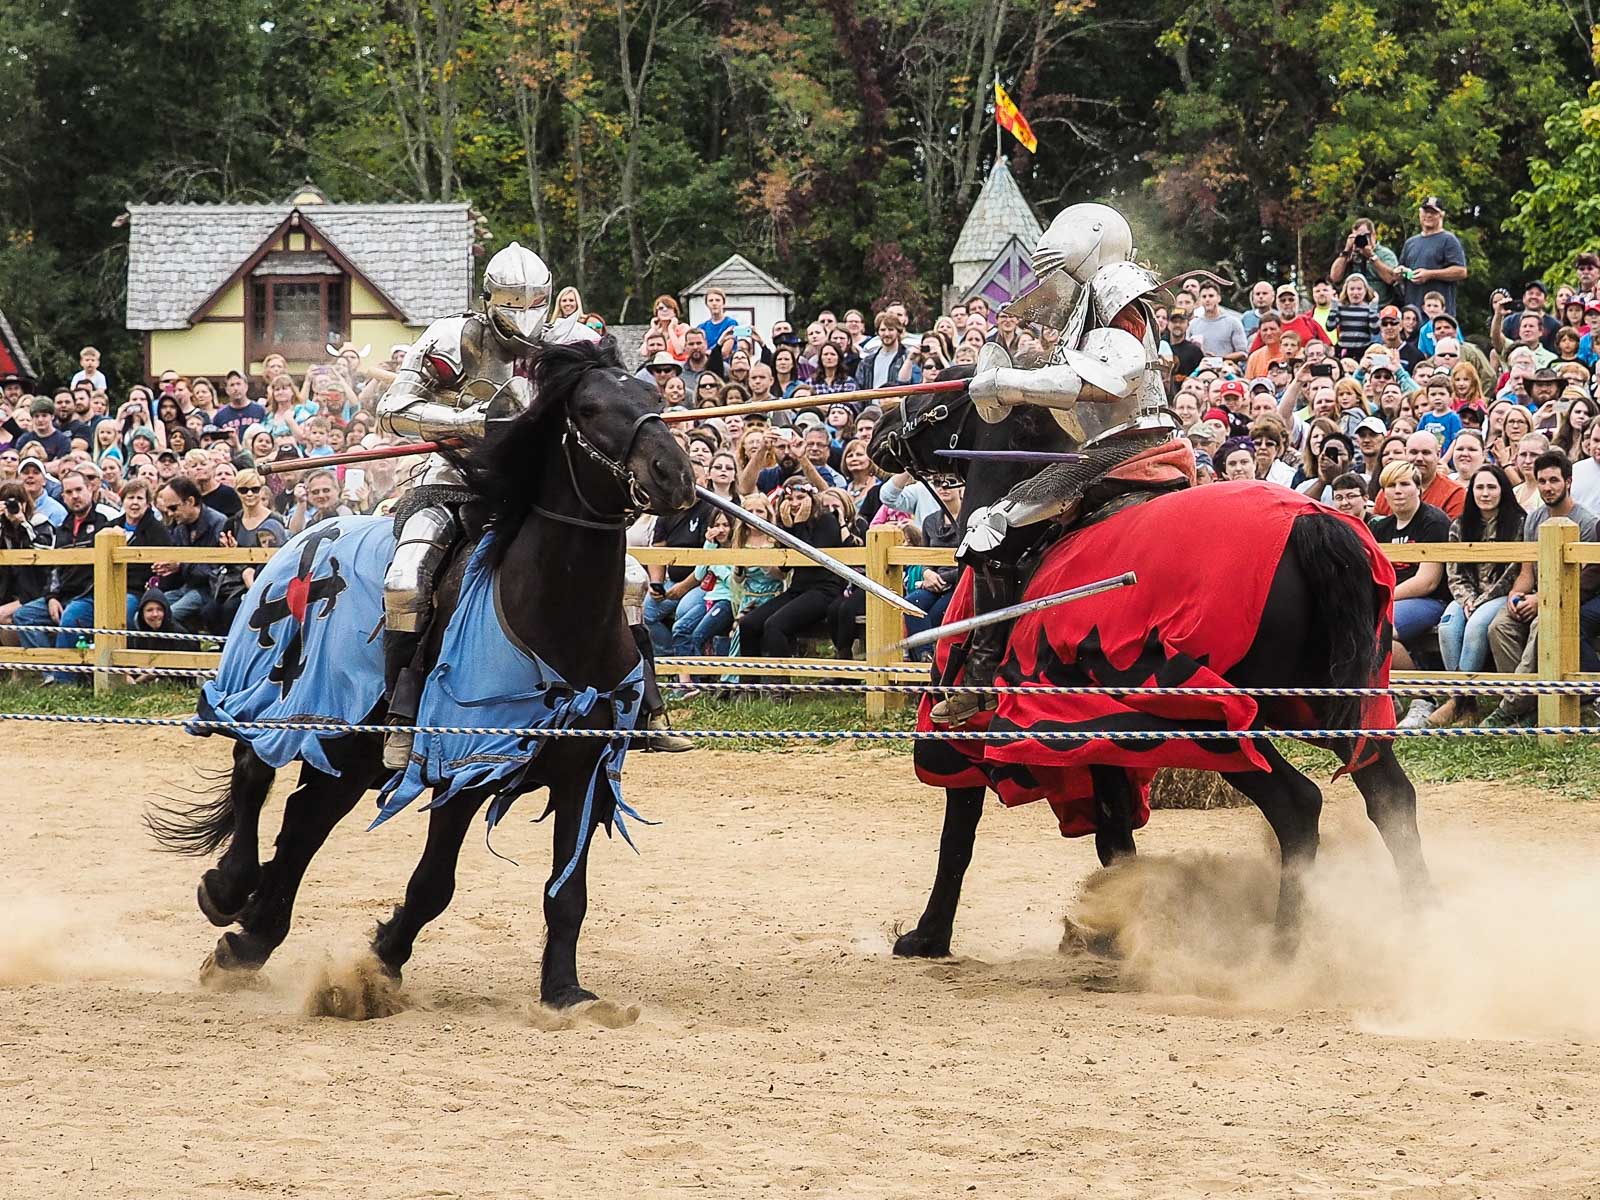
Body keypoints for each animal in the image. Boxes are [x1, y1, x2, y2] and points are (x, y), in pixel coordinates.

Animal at [148, 340, 694, 1017]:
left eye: (653, 396)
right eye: (589, 409)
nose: (676, 476)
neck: (548, 620)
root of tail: (302, 536)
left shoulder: (584, 775)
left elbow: (567, 893)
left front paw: (564, 993)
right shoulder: (461, 773)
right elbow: (434, 883)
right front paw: (379, 966)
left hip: (347, 753)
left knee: (304, 823)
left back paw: (249, 940)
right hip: (289, 702)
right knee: (255, 777)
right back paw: (229, 891)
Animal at [870, 380, 1433, 966]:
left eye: (942, 396)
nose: (879, 429)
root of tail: (1311, 522)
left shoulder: (974, 735)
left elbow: (958, 829)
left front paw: (927, 936)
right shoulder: (1095, 735)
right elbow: (1114, 835)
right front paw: (1114, 926)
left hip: (1210, 720)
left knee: (1298, 805)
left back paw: (1281, 948)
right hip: (1335, 701)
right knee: (1390, 796)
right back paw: (1425, 924)